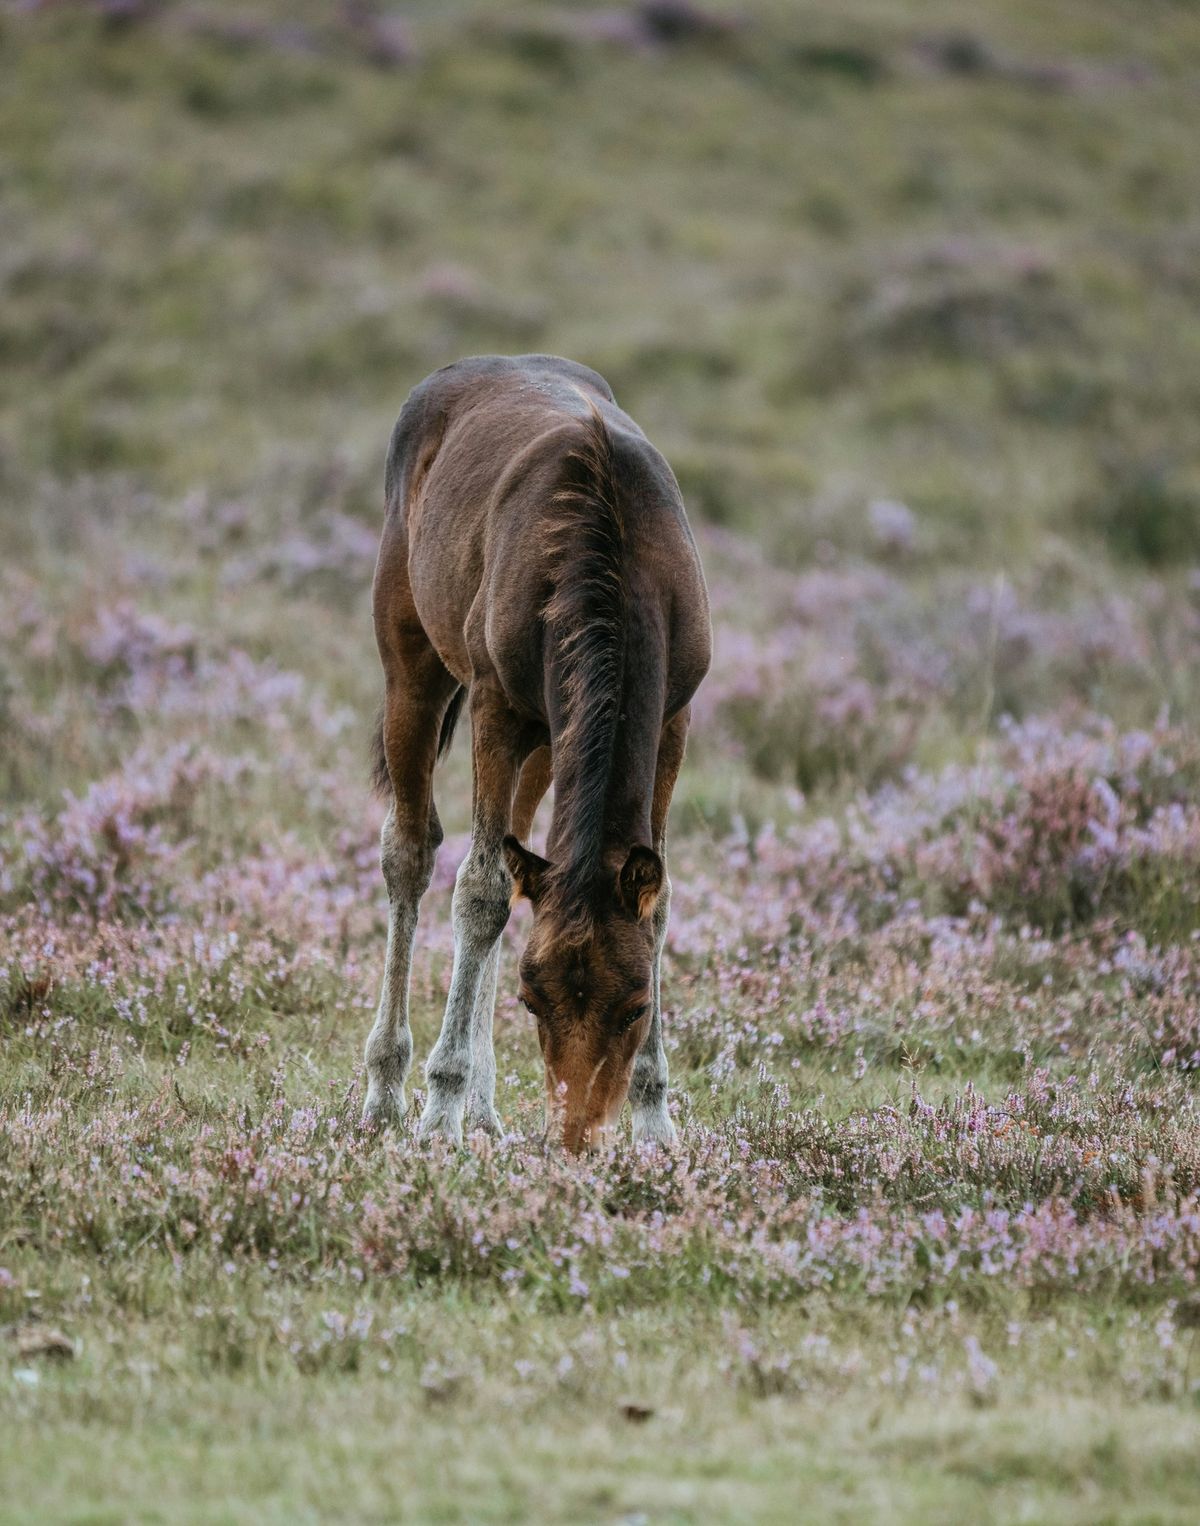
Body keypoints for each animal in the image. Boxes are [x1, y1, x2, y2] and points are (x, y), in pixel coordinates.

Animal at [360, 354, 705, 1147]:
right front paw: (441, 1110)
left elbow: (657, 903)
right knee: (410, 851)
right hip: (413, 668)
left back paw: (486, 1111)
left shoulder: (672, 719)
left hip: (549, 742)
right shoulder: (496, 706)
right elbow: (481, 890)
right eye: (533, 1002)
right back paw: (386, 1093)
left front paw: (656, 1124)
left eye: (637, 1007)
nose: (574, 1138)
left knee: (519, 857)